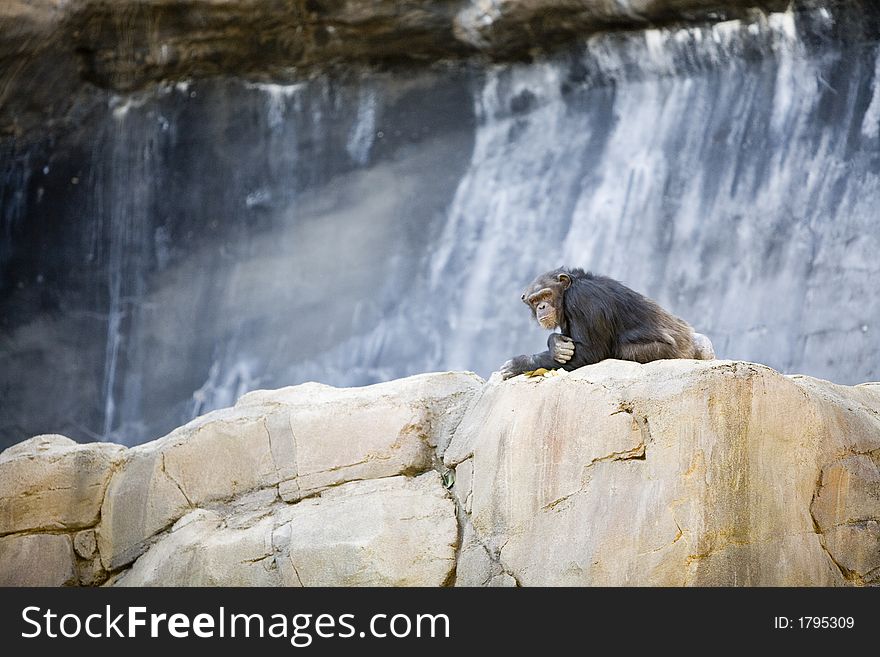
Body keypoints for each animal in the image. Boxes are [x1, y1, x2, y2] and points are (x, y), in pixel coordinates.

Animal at [502, 266, 716, 380]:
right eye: (534, 300)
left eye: (546, 294)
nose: (542, 307)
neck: (568, 291)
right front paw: (556, 343)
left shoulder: (583, 299)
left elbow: (587, 353)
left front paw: (519, 363)